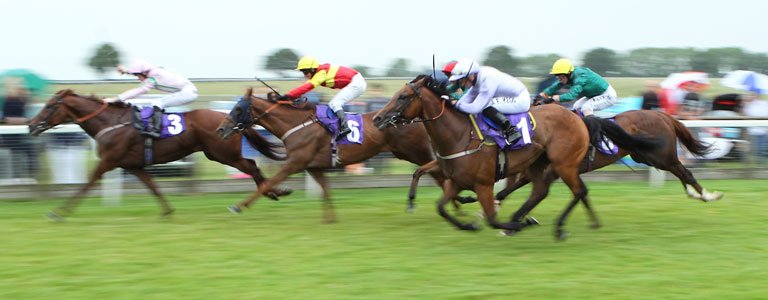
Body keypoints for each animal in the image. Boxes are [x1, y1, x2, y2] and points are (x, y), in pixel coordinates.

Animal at [27, 89, 292, 220]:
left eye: (49, 106)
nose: (30, 125)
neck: (110, 122)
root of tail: (231, 120)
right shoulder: (133, 165)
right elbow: (153, 186)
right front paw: (167, 211)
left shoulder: (108, 161)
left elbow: (86, 184)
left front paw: (58, 212)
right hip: (218, 154)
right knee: (253, 165)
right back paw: (273, 192)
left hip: (223, 154)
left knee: (252, 165)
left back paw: (273, 192)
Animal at [214, 88, 456, 221]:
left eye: (238, 109)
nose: (220, 130)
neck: (296, 124)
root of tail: (414, 118)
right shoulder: (313, 166)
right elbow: (326, 190)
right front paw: (330, 219)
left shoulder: (294, 162)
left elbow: (268, 183)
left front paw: (239, 206)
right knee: (440, 176)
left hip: (417, 152)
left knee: (441, 176)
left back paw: (456, 204)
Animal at [372, 75, 660, 239]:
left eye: (403, 96)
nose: (377, 118)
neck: (460, 134)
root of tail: (579, 117)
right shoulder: (455, 179)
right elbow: (441, 207)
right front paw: (468, 224)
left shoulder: (483, 183)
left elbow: (490, 216)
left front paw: (505, 223)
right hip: (539, 164)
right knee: (540, 192)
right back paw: (523, 219)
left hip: (564, 163)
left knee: (578, 191)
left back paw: (553, 227)